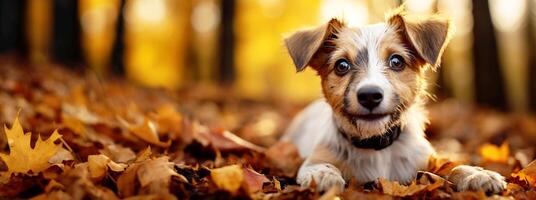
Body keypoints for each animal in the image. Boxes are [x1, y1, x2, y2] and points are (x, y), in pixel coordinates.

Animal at [280, 8, 506, 194]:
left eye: (396, 61)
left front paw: (476, 173)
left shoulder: (426, 160)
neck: (376, 147)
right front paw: (323, 174)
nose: (369, 95)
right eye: (341, 65)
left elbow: (452, 166)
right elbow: (320, 165)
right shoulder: (315, 158)